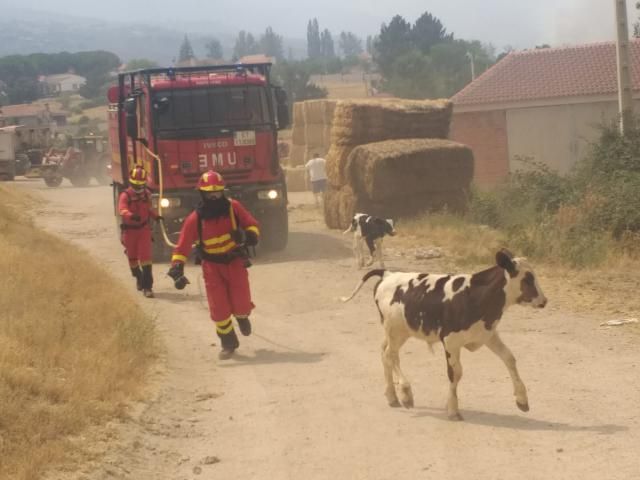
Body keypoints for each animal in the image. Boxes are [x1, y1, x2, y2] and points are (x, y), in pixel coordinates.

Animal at [342, 249, 548, 422]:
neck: (475, 295)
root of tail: (388, 274)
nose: (544, 301)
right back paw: (405, 393)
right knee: (390, 355)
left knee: (385, 354)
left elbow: (509, 358)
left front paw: (522, 400)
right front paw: (453, 410)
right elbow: (455, 373)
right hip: (395, 330)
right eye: (527, 279)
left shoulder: (487, 335)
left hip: (398, 332)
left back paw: (392, 396)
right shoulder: (451, 342)